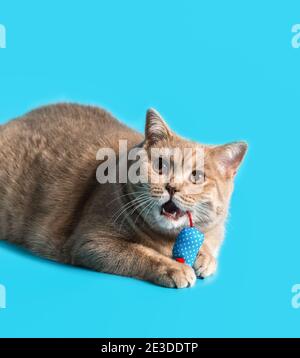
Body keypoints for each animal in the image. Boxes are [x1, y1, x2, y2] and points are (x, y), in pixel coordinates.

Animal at [0, 103, 247, 288]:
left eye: (197, 176)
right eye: (160, 165)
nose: (172, 187)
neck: (167, 239)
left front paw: (205, 257)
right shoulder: (92, 242)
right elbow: (140, 252)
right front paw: (175, 268)